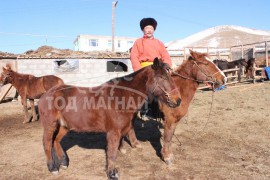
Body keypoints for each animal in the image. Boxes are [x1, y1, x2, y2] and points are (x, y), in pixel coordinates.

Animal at [38, 58, 181, 180]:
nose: (178, 100)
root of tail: (47, 94)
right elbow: (112, 153)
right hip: (50, 125)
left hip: (64, 125)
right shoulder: (113, 132)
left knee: (56, 141)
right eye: (162, 77)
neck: (121, 97)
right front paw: (112, 174)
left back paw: (64, 162)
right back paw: (52, 168)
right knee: (47, 143)